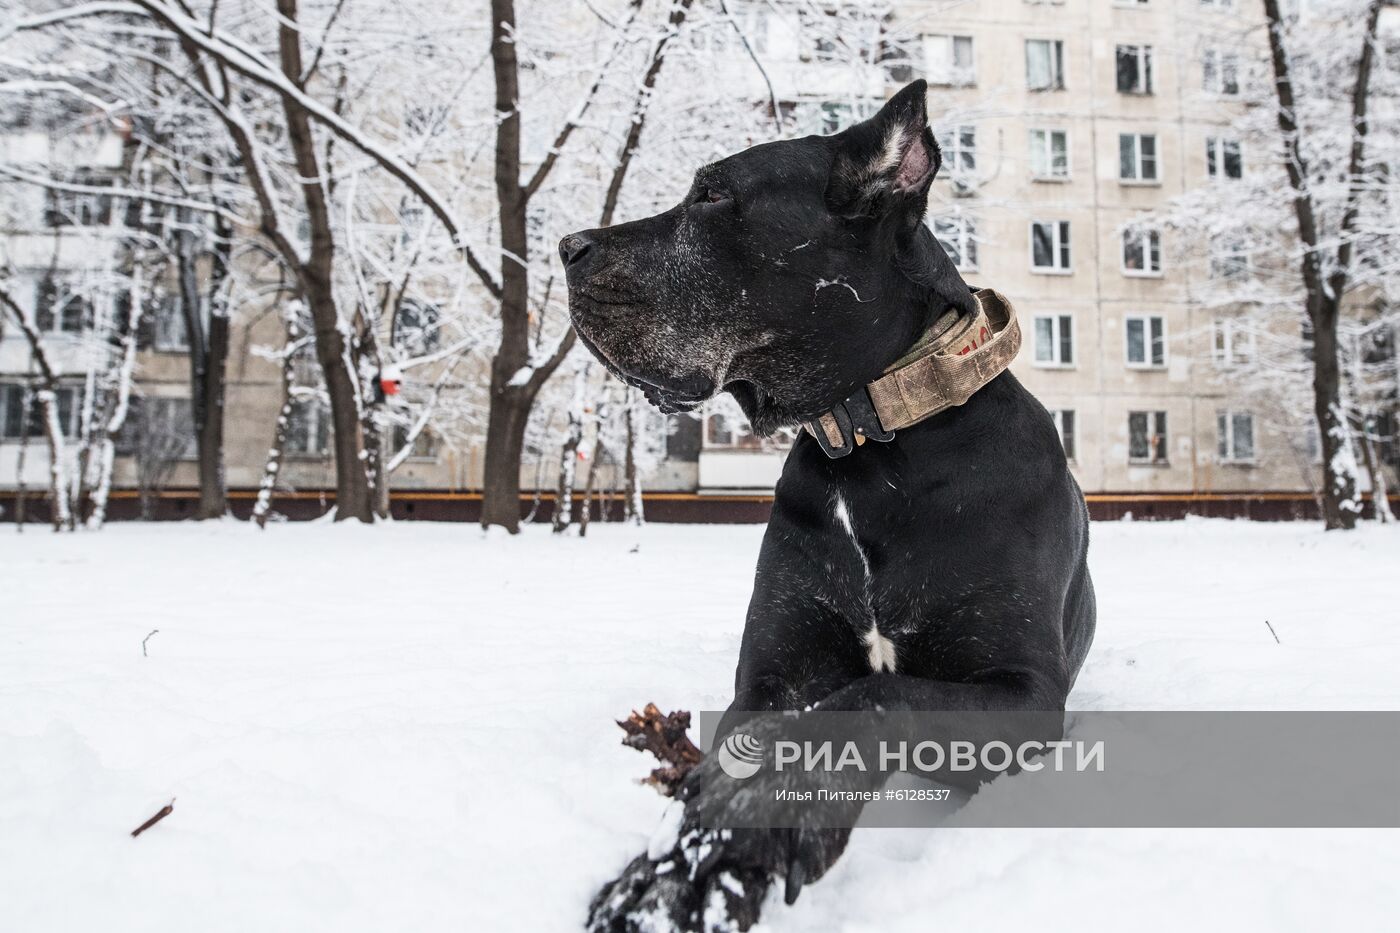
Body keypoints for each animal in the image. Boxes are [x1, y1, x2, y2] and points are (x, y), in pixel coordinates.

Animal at [562, 81, 1097, 930]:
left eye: (713, 193)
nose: (565, 247)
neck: (871, 448)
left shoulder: (1025, 692)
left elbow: (866, 700)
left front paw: (749, 838)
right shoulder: (772, 674)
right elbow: (735, 756)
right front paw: (674, 867)